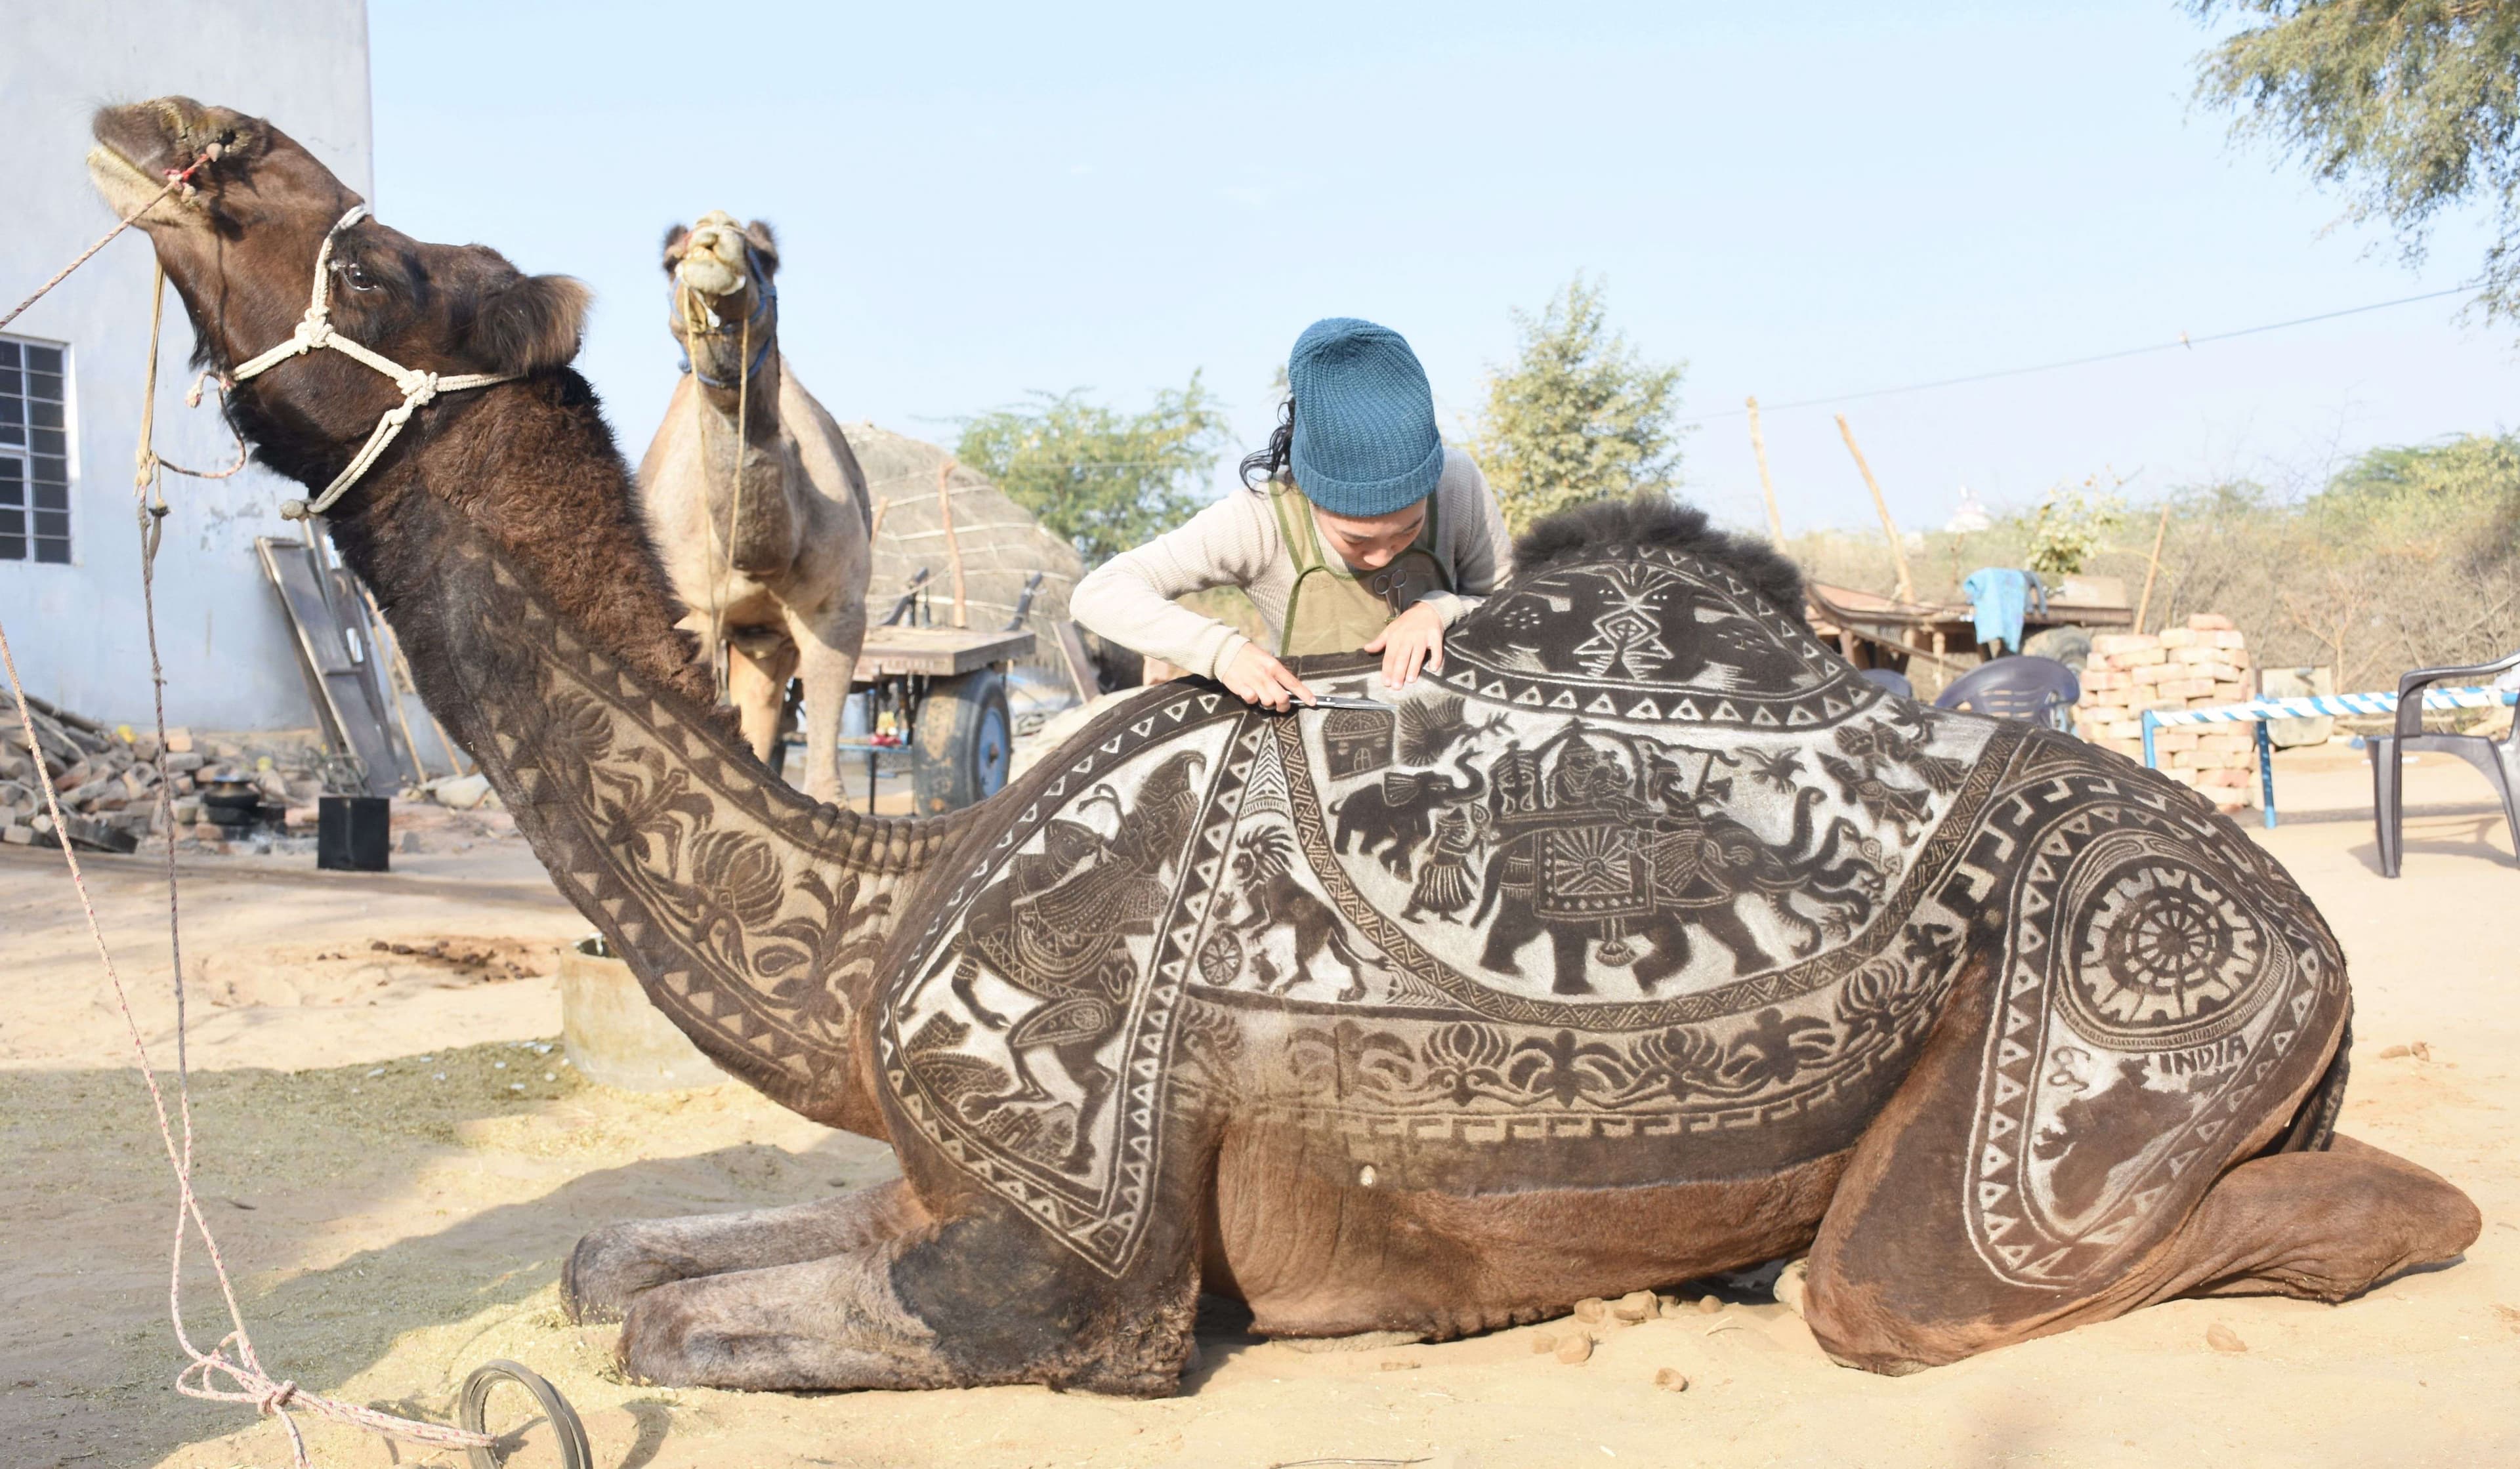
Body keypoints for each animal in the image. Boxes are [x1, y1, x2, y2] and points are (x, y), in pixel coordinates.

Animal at [93, 97, 2479, 1401]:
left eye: (382, 259)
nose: (156, 123)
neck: (868, 921)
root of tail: (2301, 926)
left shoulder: (1072, 1269)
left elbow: (664, 1328)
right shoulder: (931, 1161)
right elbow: (614, 1264)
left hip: (2071, 1065)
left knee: (2044, 1256)